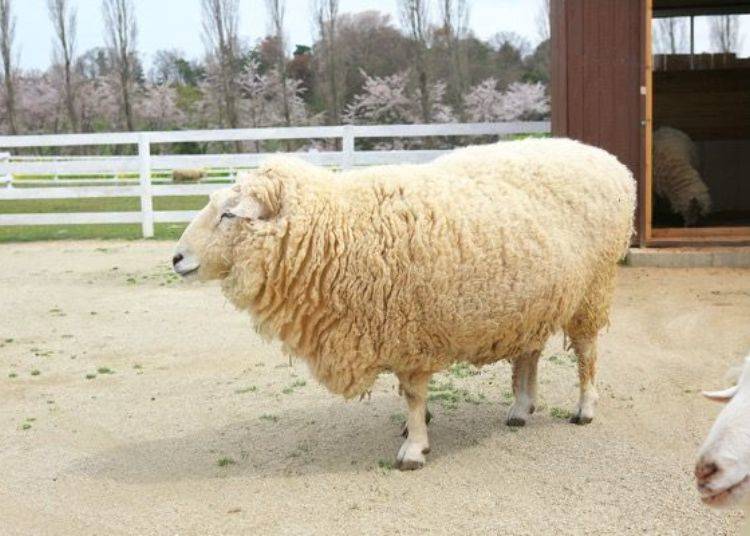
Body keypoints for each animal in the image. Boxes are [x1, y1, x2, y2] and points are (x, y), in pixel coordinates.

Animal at [173, 137, 636, 468]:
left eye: (229, 214)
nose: (176, 257)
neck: (338, 229)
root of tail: (613, 163)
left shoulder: (410, 331)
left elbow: (412, 395)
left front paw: (414, 447)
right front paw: (415, 430)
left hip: (592, 289)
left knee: (587, 352)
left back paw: (585, 408)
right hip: (534, 299)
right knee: (529, 353)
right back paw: (521, 408)